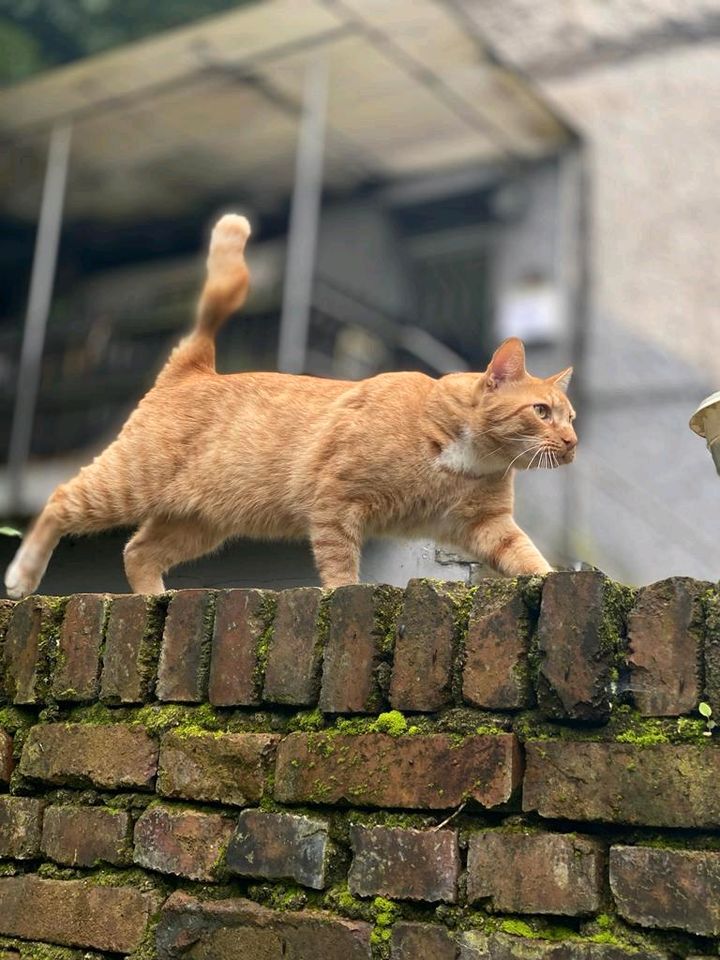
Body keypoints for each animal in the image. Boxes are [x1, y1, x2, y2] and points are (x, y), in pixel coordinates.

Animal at [5, 214, 576, 596]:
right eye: (542, 413)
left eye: (571, 418)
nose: (573, 444)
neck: (464, 454)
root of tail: (196, 365)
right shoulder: (336, 501)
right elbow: (340, 566)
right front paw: (345, 594)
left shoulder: (486, 525)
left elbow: (528, 557)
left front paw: (551, 581)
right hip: (128, 482)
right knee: (59, 500)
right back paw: (22, 576)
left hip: (197, 522)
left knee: (137, 551)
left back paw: (154, 602)